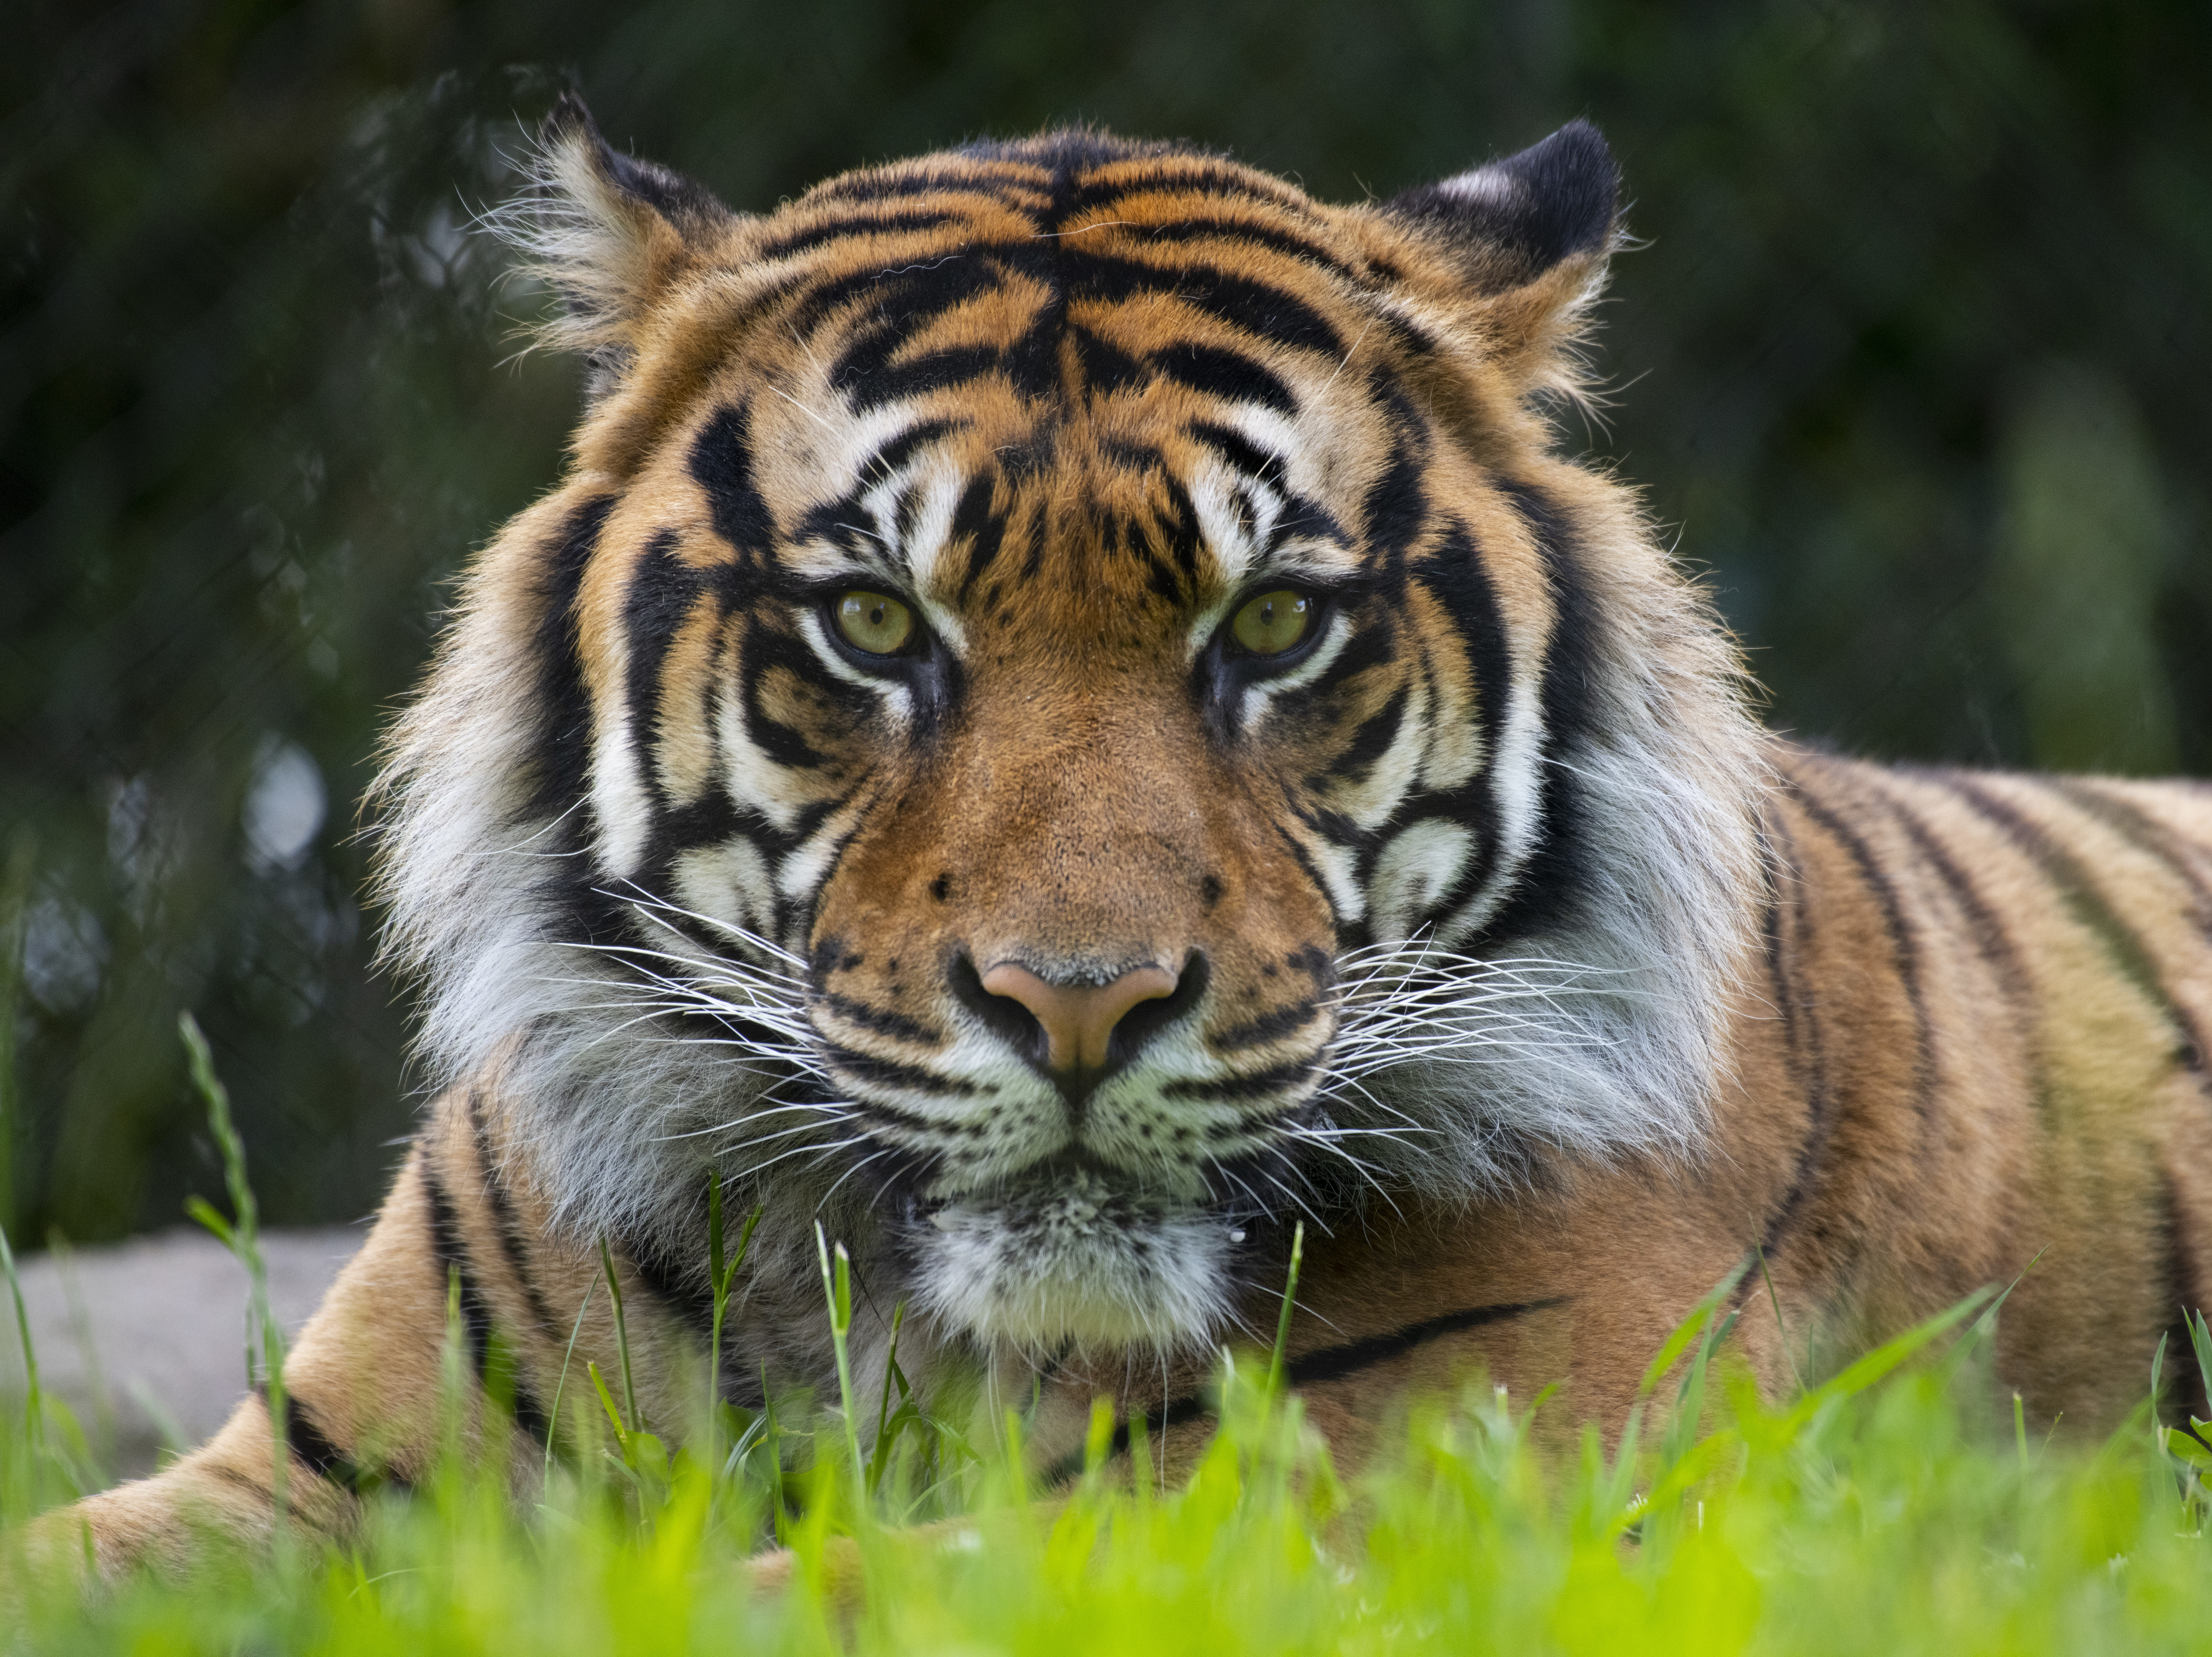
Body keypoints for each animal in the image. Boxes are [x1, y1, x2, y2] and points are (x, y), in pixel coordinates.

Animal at [41, 94, 2212, 1576]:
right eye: (873, 625)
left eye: (1271, 627)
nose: (1077, 1006)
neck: (892, 1303)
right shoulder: (317, 1473)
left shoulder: (1389, 1477)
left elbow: (814, 1584)